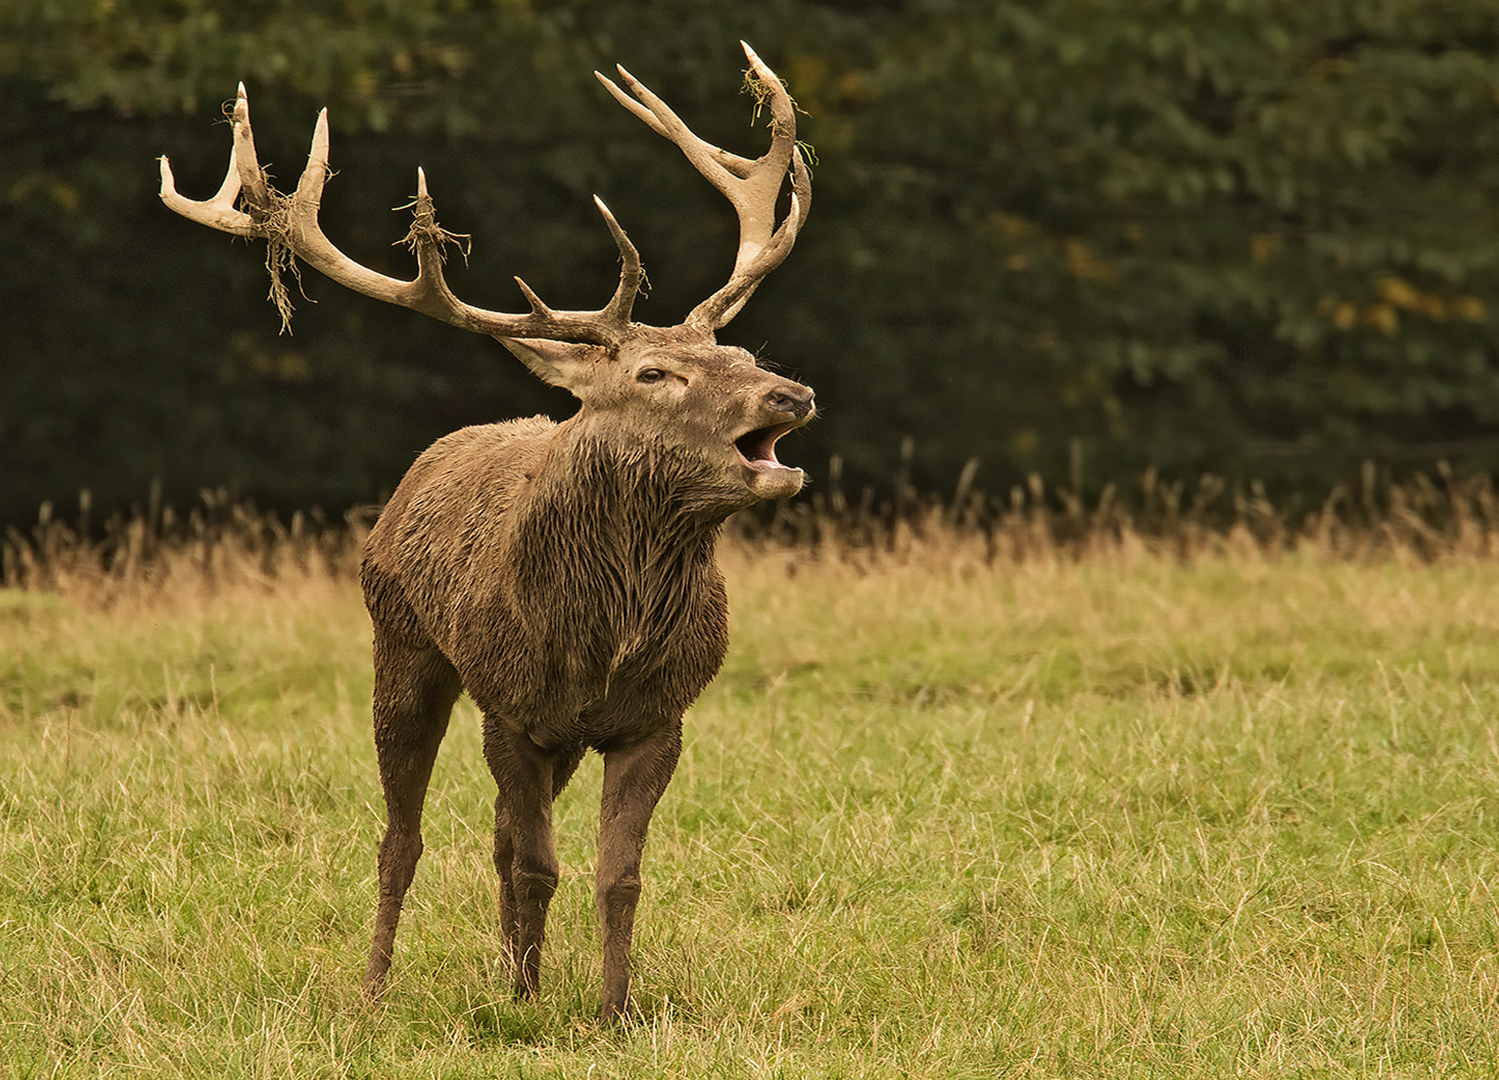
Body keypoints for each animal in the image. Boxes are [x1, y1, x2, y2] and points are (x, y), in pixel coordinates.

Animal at [158, 40, 815, 1020]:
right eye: (654, 373)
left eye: (741, 354)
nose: (790, 393)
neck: (603, 641)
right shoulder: (509, 707)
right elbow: (540, 864)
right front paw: (531, 1011)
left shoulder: (657, 716)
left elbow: (615, 875)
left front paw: (611, 1012)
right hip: (404, 649)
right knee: (406, 836)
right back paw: (376, 989)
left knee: (502, 836)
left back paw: (506, 968)